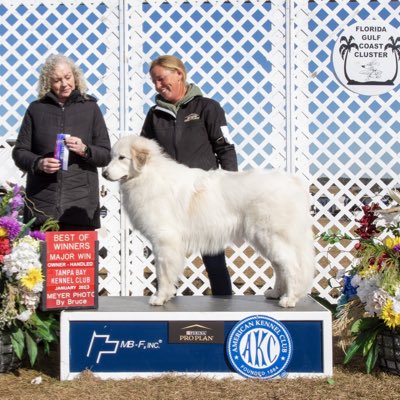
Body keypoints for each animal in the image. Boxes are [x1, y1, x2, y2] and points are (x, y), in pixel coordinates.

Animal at [103, 136, 316, 308]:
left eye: (122, 158)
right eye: (112, 157)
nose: (104, 173)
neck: (148, 175)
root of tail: (294, 183)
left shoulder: (164, 240)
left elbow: (162, 272)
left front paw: (160, 297)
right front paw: (168, 295)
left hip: (271, 237)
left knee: (291, 266)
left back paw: (289, 299)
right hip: (265, 240)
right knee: (279, 266)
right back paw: (276, 293)